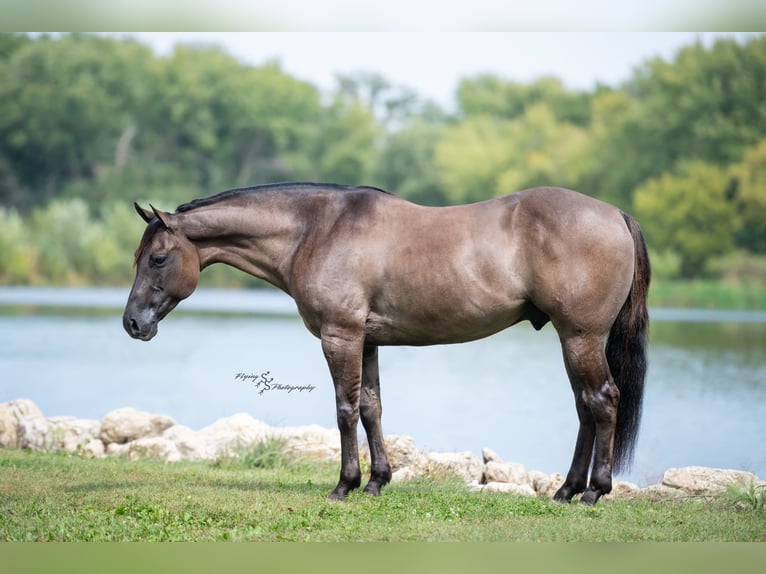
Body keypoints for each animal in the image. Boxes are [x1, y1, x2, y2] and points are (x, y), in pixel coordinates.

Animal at [123, 182, 650, 505]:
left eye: (158, 258)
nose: (132, 323)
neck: (316, 230)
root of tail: (616, 214)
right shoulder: (367, 340)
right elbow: (371, 407)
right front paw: (377, 481)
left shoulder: (340, 336)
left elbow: (344, 409)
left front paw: (344, 485)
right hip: (571, 340)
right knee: (585, 407)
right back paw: (566, 490)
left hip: (580, 337)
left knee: (603, 400)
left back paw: (593, 491)